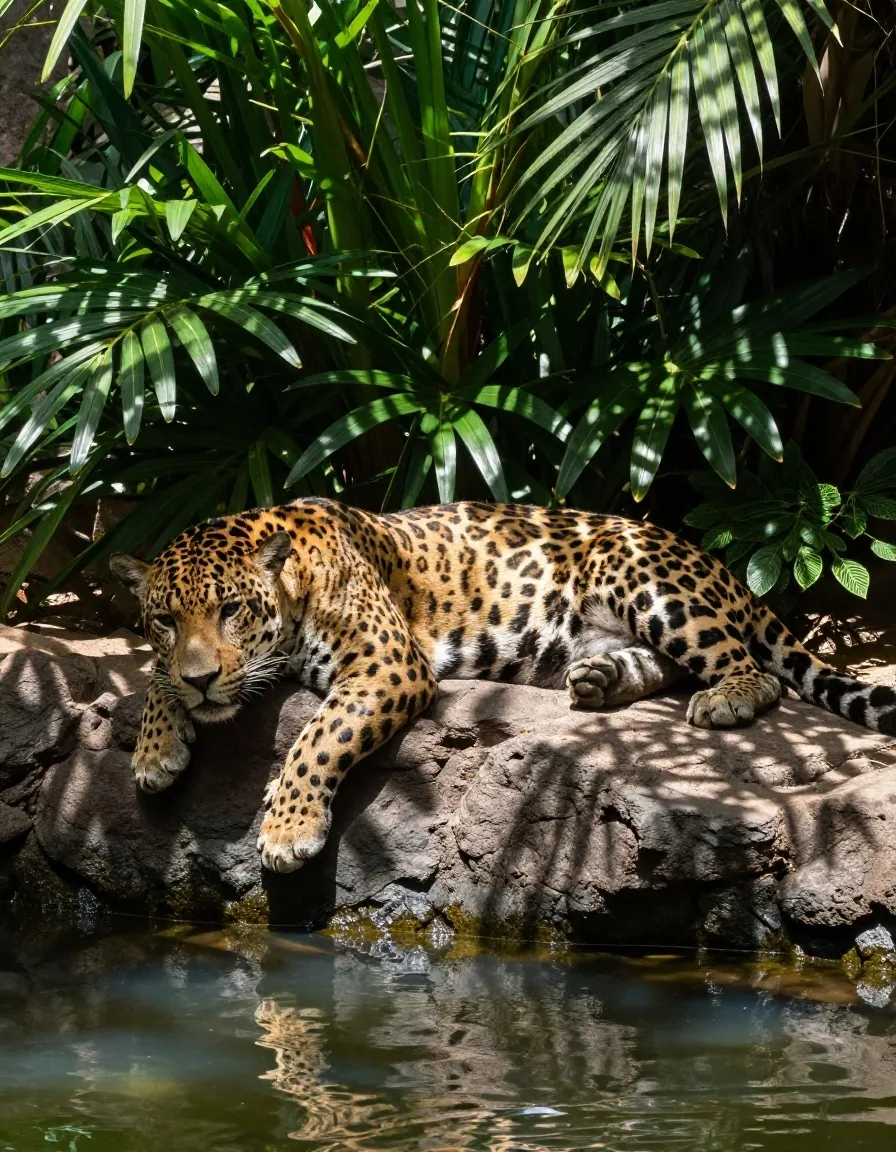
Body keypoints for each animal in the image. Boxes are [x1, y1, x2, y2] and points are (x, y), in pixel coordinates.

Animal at [110, 499, 896, 873]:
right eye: (165, 618)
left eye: (231, 610)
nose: (203, 680)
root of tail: (717, 563)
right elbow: (152, 676)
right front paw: (155, 751)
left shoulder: (387, 661)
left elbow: (318, 737)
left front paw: (288, 829)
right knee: (664, 663)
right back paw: (599, 681)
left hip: (638, 574)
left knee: (752, 669)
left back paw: (726, 698)